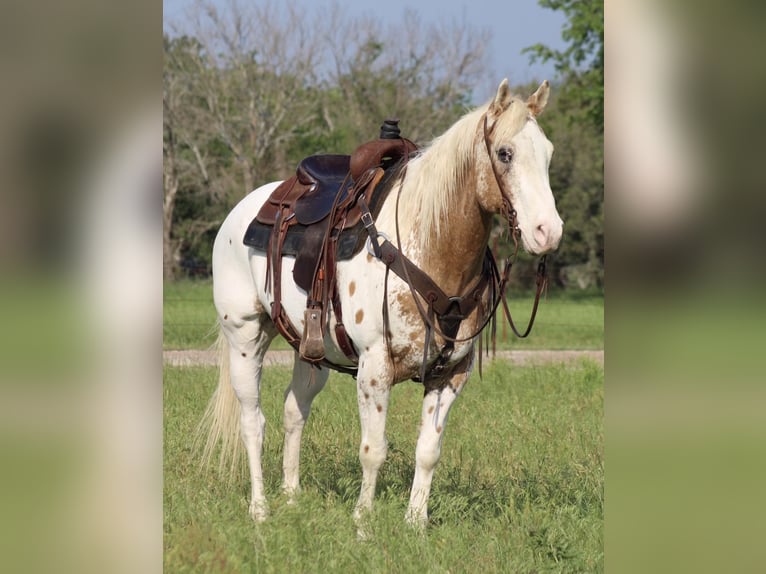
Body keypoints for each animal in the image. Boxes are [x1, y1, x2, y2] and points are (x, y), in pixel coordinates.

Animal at [201, 77, 568, 532]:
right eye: (505, 153)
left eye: (548, 152)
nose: (548, 231)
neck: (426, 243)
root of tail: (242, 211)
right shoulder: (374, 369)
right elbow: (373, 450)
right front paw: (362, 524)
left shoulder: (451, 374)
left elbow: (428, 452)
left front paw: (415, 525)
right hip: (245, 337)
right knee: (253, 422)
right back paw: (260, 509)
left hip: (311, 352)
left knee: (293, 411)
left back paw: (291, 498)